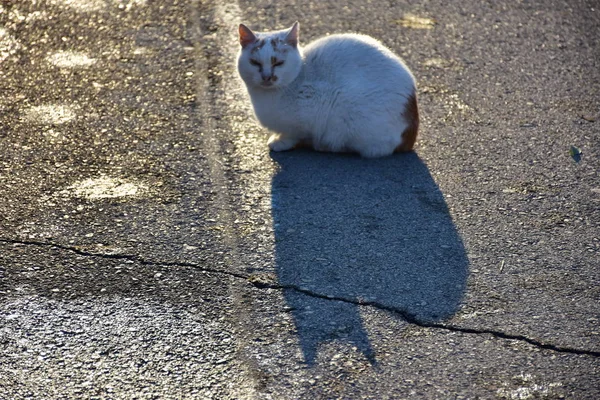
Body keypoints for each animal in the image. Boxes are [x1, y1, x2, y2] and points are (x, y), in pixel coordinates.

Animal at [237, 22, 420, 158]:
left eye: (278, 63)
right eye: (255, 63)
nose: (267, 77)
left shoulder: (311, 109)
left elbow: (293, 134)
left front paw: (281, 142)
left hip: (349, 111)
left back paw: (324, 146)